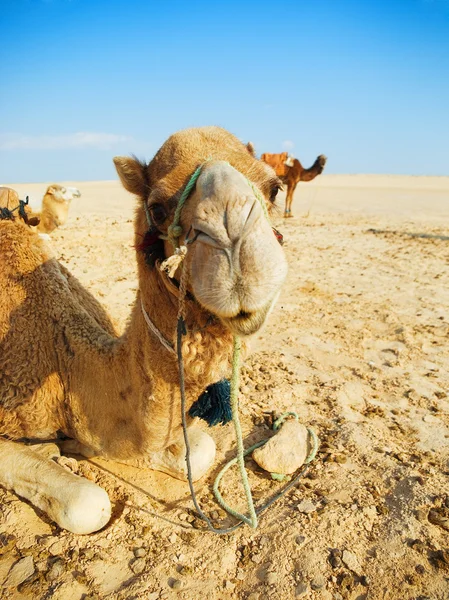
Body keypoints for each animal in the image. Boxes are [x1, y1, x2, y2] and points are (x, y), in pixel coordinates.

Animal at [0, 125, 288, 536]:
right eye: (157, 207)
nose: (239, 257)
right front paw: (56, 450)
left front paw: (77, 448)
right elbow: (89, 504)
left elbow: (198, 450)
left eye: (274, 188)